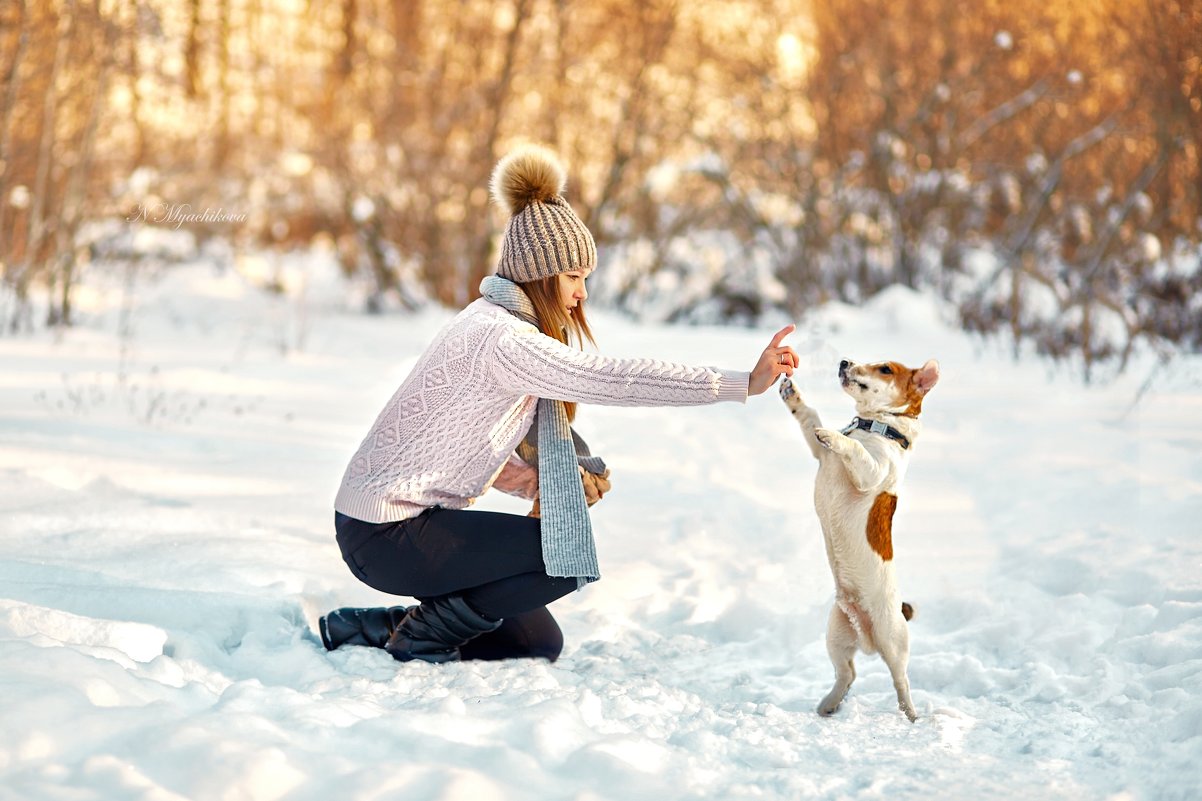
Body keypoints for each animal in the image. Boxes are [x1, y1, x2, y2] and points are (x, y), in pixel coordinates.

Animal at [778, 358, 937, 721]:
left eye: (886, 369)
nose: (844, 361)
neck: (874, 426)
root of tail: (866, 637)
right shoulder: (820, 455)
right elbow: (809, 417)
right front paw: (792, 393)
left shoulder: (871, 471)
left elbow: (852, 449)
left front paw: (833, 434)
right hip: (836, 634)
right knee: (847, 673)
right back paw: (828, 705)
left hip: (893, 640)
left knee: (901, 681)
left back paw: (910, 716)